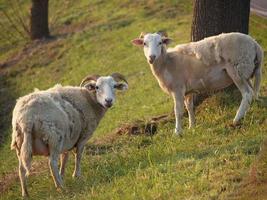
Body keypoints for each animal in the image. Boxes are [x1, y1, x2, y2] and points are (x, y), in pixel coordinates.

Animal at [132, 31, 264, 134]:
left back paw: (236, 119)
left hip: (237, 69)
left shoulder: (178, 89)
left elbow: (178, 111)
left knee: (247, 94)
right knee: (252, 92)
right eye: (144, 43)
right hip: (246, 71)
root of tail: (255, 44)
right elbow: (189, 107)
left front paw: (177, 132)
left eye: (160, 43)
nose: (151, 57)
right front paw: (192, 127)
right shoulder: (188, 91)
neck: (167, 63)